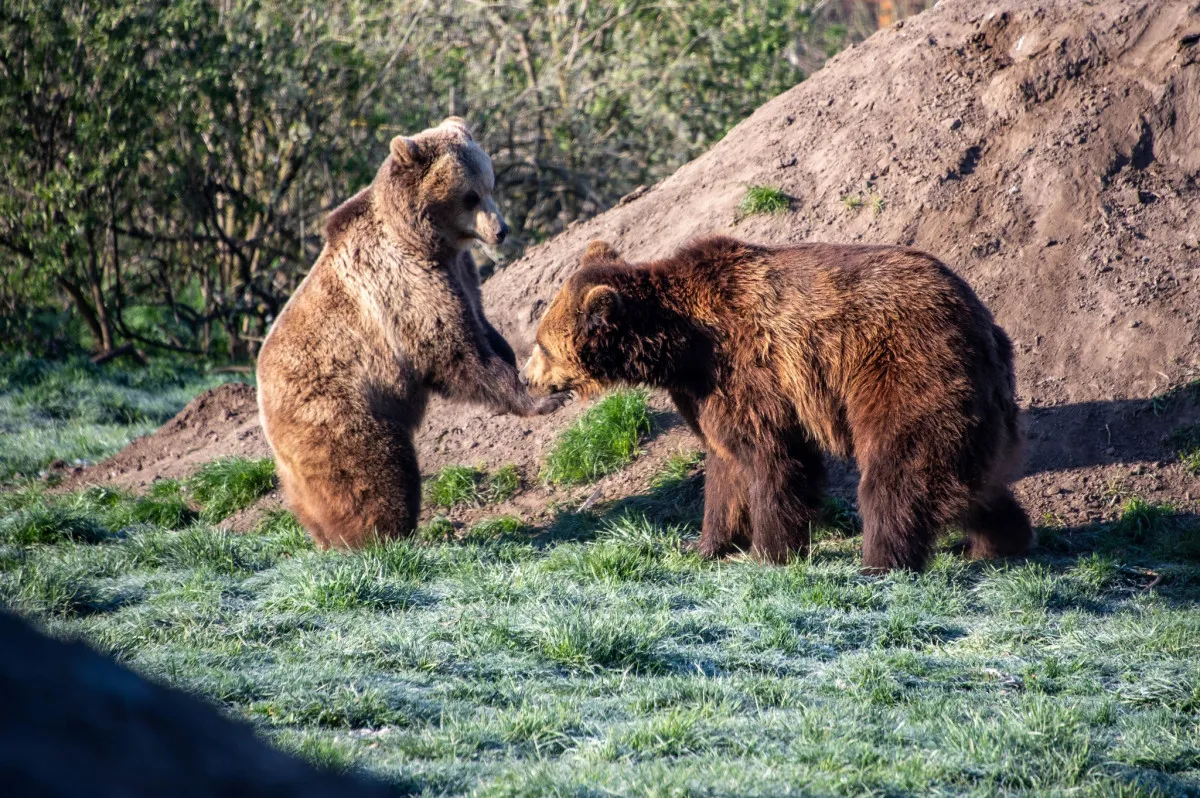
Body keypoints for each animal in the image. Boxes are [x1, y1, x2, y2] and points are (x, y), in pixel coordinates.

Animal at [255, 118, 564, 552]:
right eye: (470, 196)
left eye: (490, 184)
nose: (501, 231)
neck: (429, 242)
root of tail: (262, 401)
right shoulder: (406, 288)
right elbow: (457, 351)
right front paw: (542, 398)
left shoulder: (460, 272)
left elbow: (483, 326)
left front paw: (526, 368)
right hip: (337, 409)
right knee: (376, 470)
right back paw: (379, 536)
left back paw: (329, 535)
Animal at [525, 236, 1032, 573]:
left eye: (542, 345)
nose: (528, 378)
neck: (679, 346)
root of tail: (983, 323)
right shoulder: (705, 391)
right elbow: (725, 466)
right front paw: (704, 544)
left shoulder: (747, 368)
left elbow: (774, 458)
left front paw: (766, 552)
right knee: (967, 481)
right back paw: (1002, 541)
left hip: (903, 371)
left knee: (897, 473)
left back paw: (880, 561)